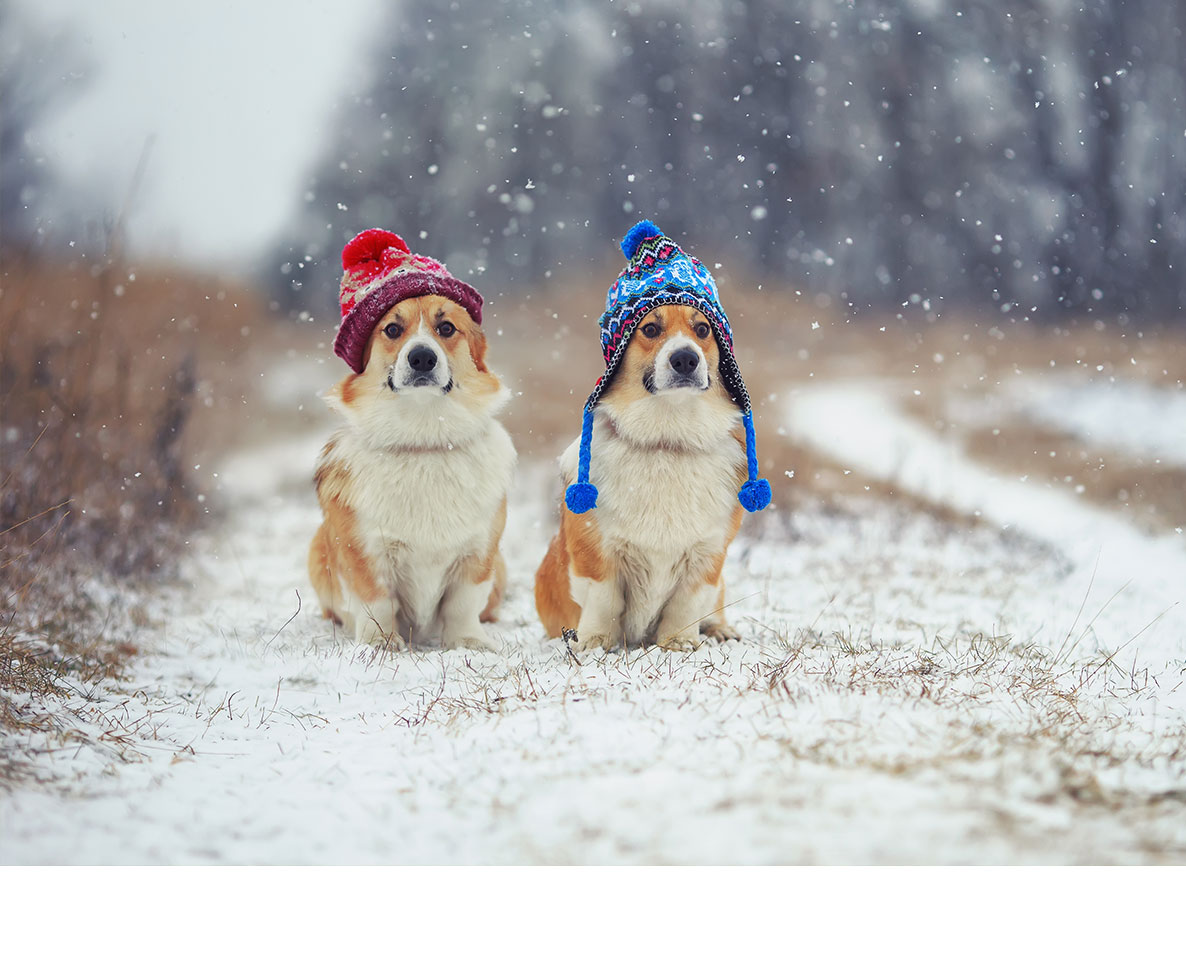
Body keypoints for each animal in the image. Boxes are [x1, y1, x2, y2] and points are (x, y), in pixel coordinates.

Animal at [308, 228, 512, 649]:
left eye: (446, 328)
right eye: (392, 329)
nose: (421, 358)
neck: (424, 438)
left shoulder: (478, 552)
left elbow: (462, 604)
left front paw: (468, 641)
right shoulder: (365, 553)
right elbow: (377, 603)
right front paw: (382, 643)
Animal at [536, 219, 768, 649]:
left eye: (702, 329)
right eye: (650, 328)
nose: (686, 358)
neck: (667, 439)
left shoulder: (707, 555)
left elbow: (686, 603)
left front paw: (680, 643)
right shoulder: (597, 553)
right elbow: (605, 600)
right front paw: (595, 642)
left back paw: (721, 629)